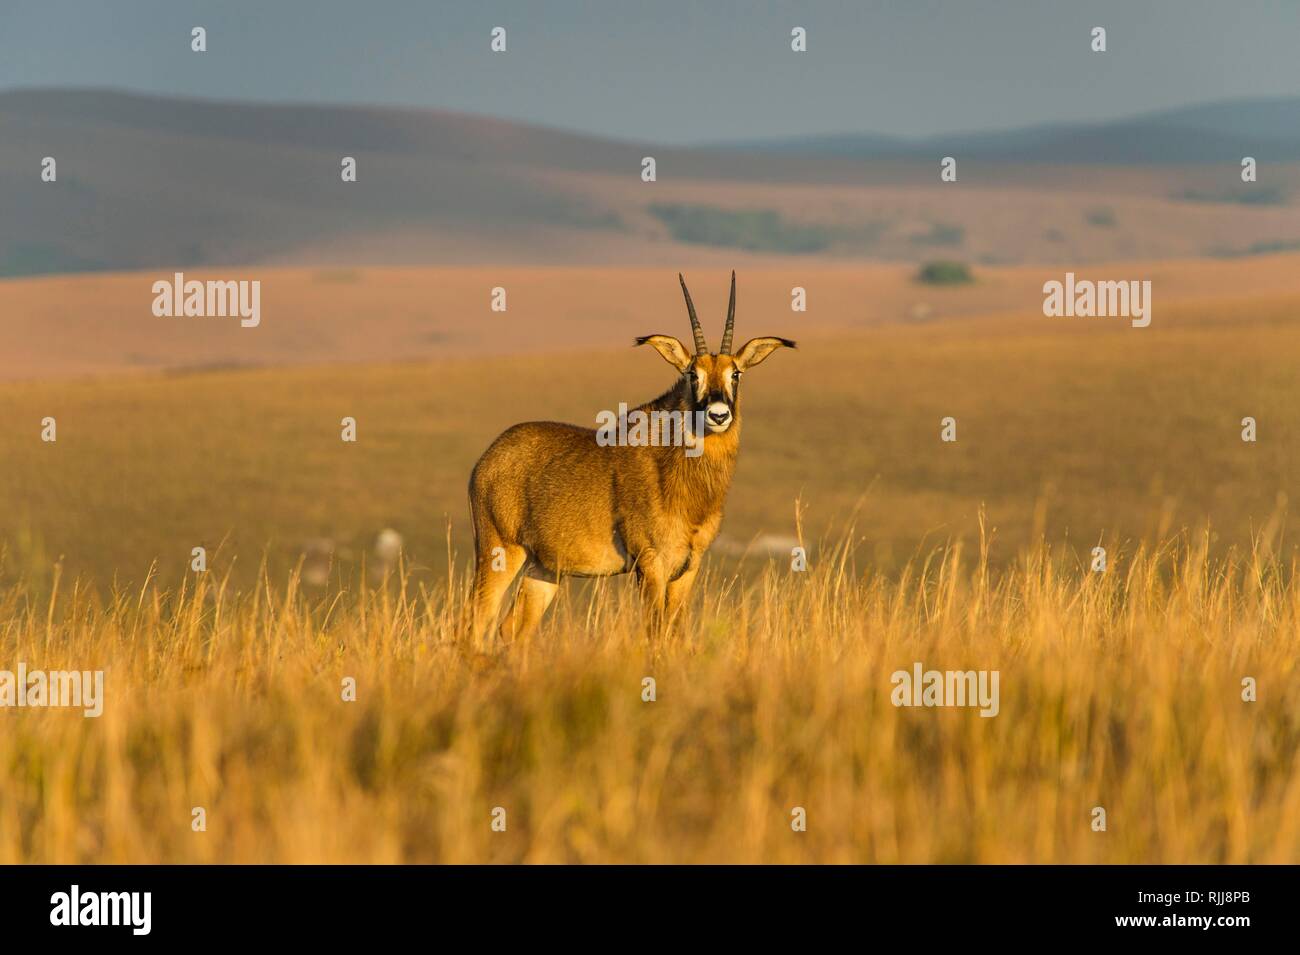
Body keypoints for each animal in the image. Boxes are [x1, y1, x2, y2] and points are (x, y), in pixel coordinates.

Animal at [467, 270, 790, 641]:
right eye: (692, 374)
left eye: (735, 373)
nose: (718, 414)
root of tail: (486, 461)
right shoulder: (651, 563)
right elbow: (655, 633)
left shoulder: (688, 567)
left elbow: (674, 634)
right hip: (500, 552)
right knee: (474, 624)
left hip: (543, 569)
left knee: (512, 629)